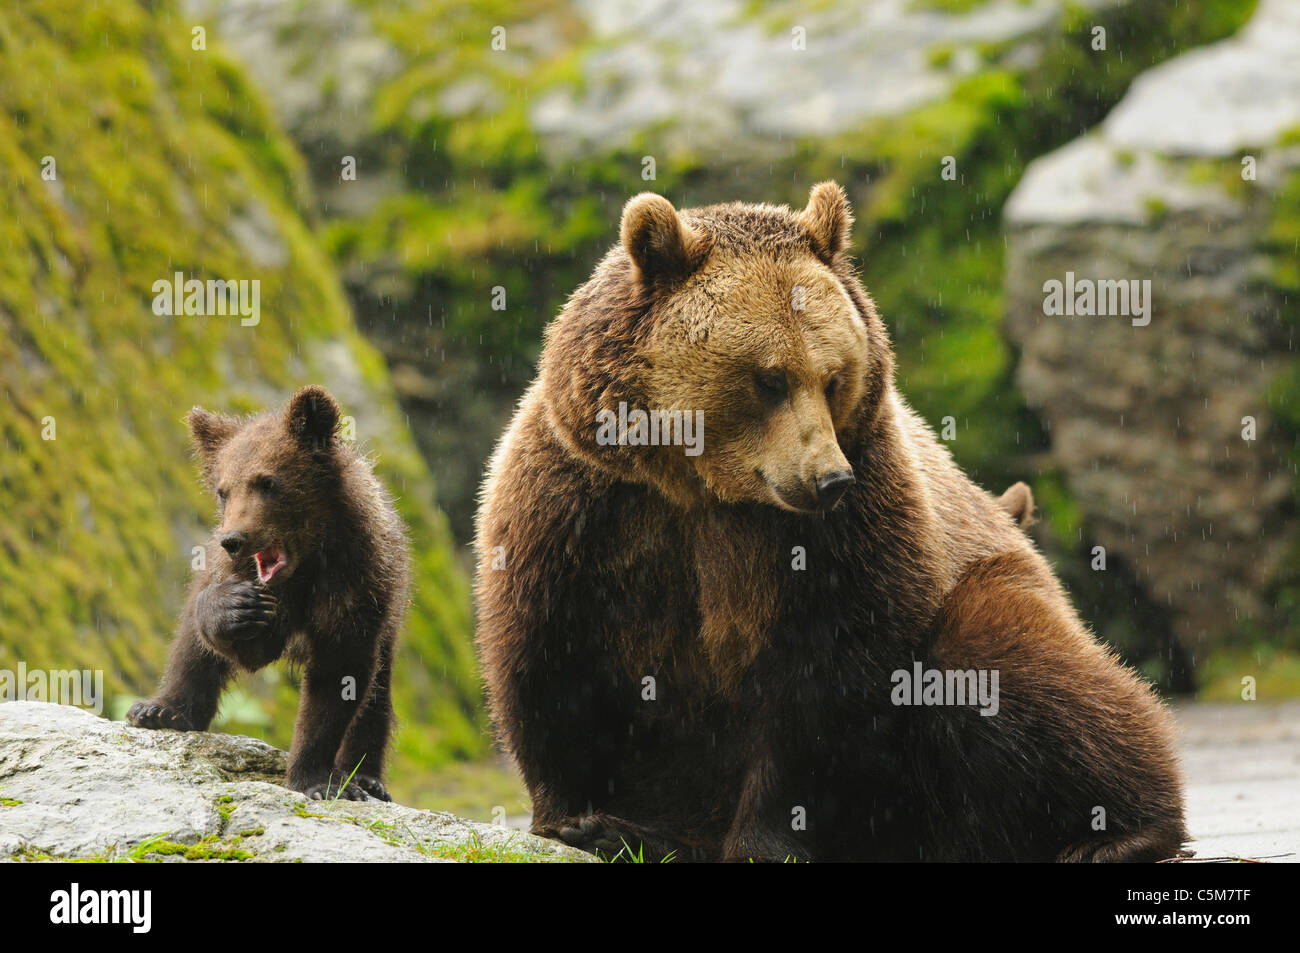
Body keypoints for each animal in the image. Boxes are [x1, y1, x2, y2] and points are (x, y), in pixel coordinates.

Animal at [128, 385, 409, 802]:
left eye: (268, 482)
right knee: (190, 647)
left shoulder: (355, 588)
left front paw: (319, 779)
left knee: (377, 692)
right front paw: (237, 606)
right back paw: (161, 710)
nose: (234, 539)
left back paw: (366, 777)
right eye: (223, 491)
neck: (307, 564)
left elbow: (338, 679)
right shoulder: (241, 578)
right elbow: (239, 641)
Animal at [474, 182, 1187, 862]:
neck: (703, 492)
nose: (828, 479)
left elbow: (824, 684)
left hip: (977, 591)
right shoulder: (587, 505)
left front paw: (764, 839)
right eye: (768, 379)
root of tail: (1009, 512)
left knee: (1014, 666)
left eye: (834, 376)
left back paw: (1115, 832)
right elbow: (551, 652)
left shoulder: (848, 527)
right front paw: (584, 820)